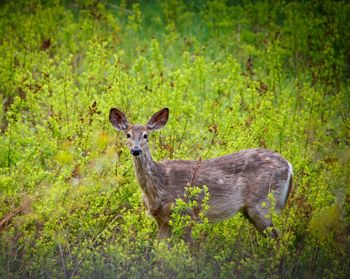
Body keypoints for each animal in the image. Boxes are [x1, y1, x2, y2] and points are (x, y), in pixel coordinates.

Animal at [109, 108, 292, 240]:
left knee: (277, 237)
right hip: (251, 210)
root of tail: (289, 166)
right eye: (128, 135)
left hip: (262, 203)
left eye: (146, 135)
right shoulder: (162, 220)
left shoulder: (187, 214)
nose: (136, 150)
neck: (159, 186)